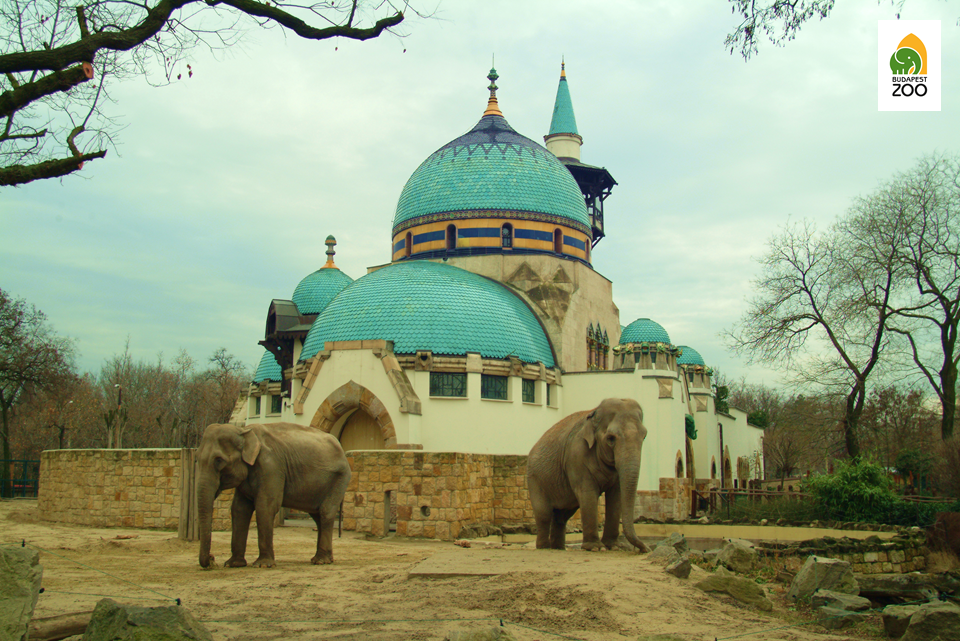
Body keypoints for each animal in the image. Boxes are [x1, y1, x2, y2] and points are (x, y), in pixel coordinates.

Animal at [197, 422, 350, 568]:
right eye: (197, 458)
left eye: (219, 460)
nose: (212, 559)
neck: (244, 431)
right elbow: (239, 509)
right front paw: (233, 564)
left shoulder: (271, 466)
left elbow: (265, 506)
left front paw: (263, 565)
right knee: (317, 515)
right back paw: (323, 559)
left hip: (339, 479)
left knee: (325, 512)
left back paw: (320, 561)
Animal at [524, 396, 652, 552]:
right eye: (611, 438)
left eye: (644, 436)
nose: (646, 549)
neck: (594, 412)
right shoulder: (576, 455)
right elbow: (588, 493)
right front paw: (596, 548)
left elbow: (616, 495)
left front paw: (614, 547)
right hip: (535, 478)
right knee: (544, 514)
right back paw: (544, 547)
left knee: (561, 516)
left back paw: (558, 548)